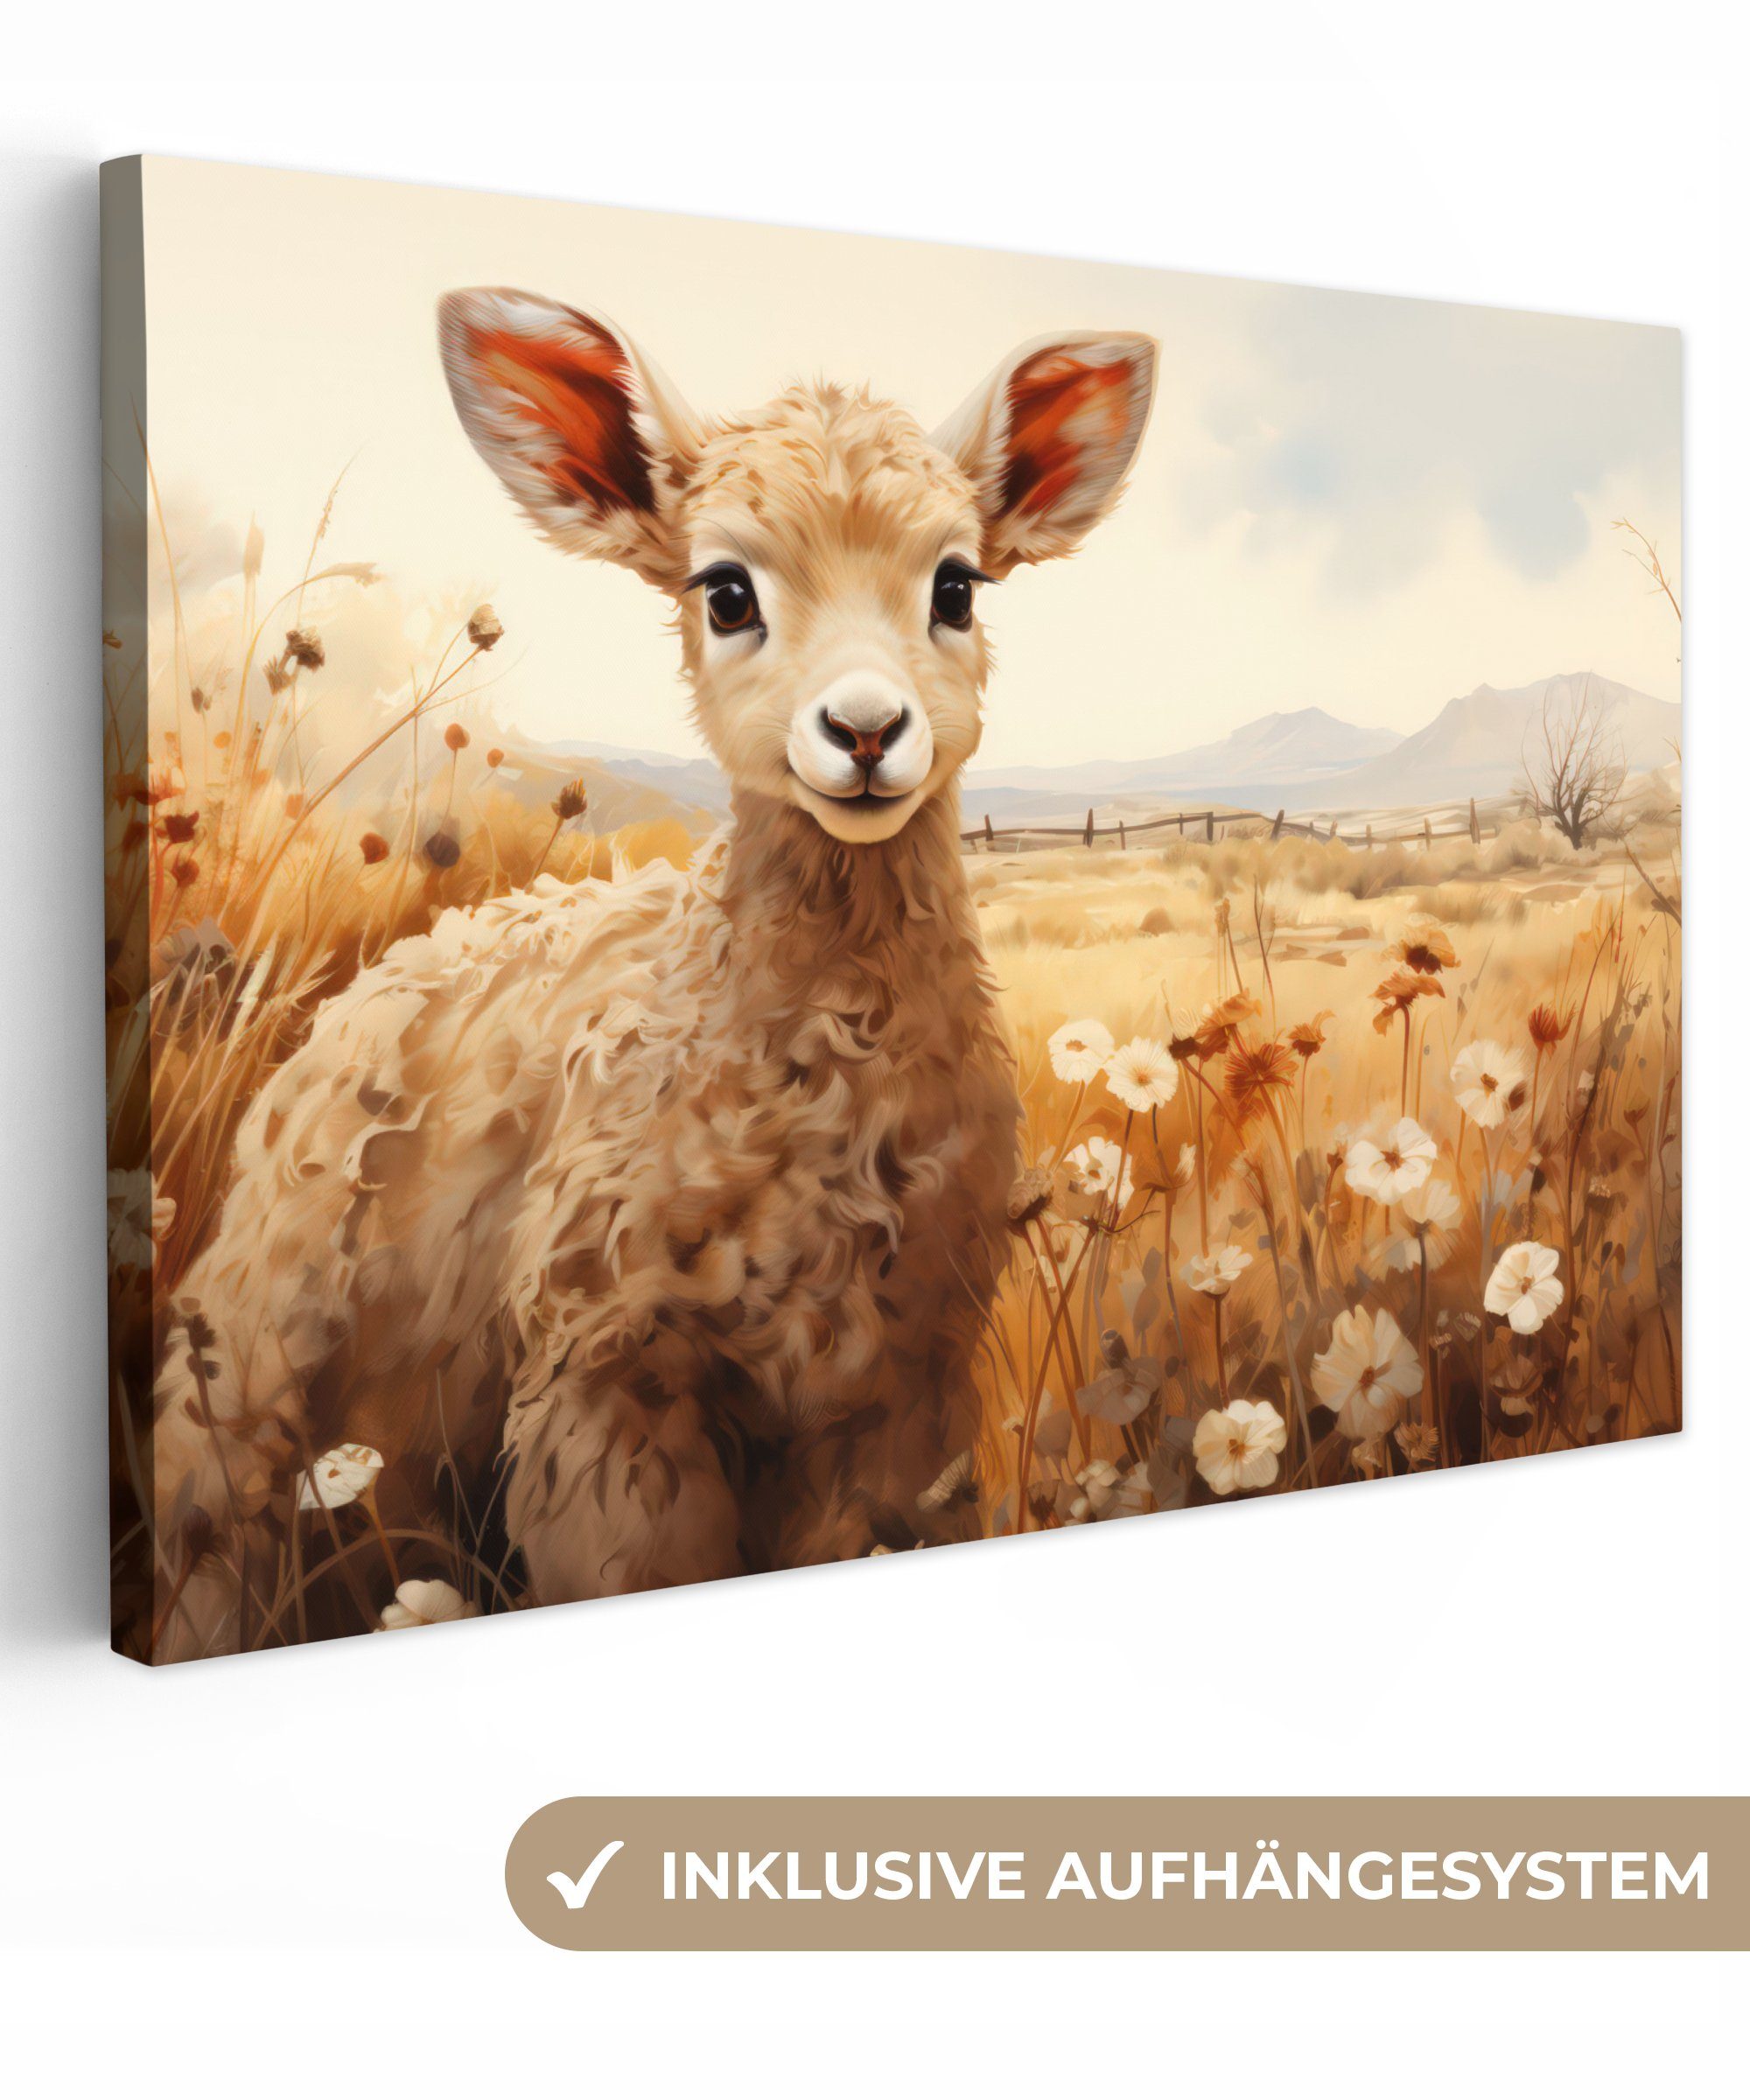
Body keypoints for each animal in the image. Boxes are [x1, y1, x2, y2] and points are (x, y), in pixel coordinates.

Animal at [146, 291, 1157, 1657]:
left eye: (957, 586)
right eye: (724, 592)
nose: (865, 731)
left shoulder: (891, 1405)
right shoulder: (608, 1378)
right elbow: (633, 1566)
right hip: (263, 1359)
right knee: (216, 1524)